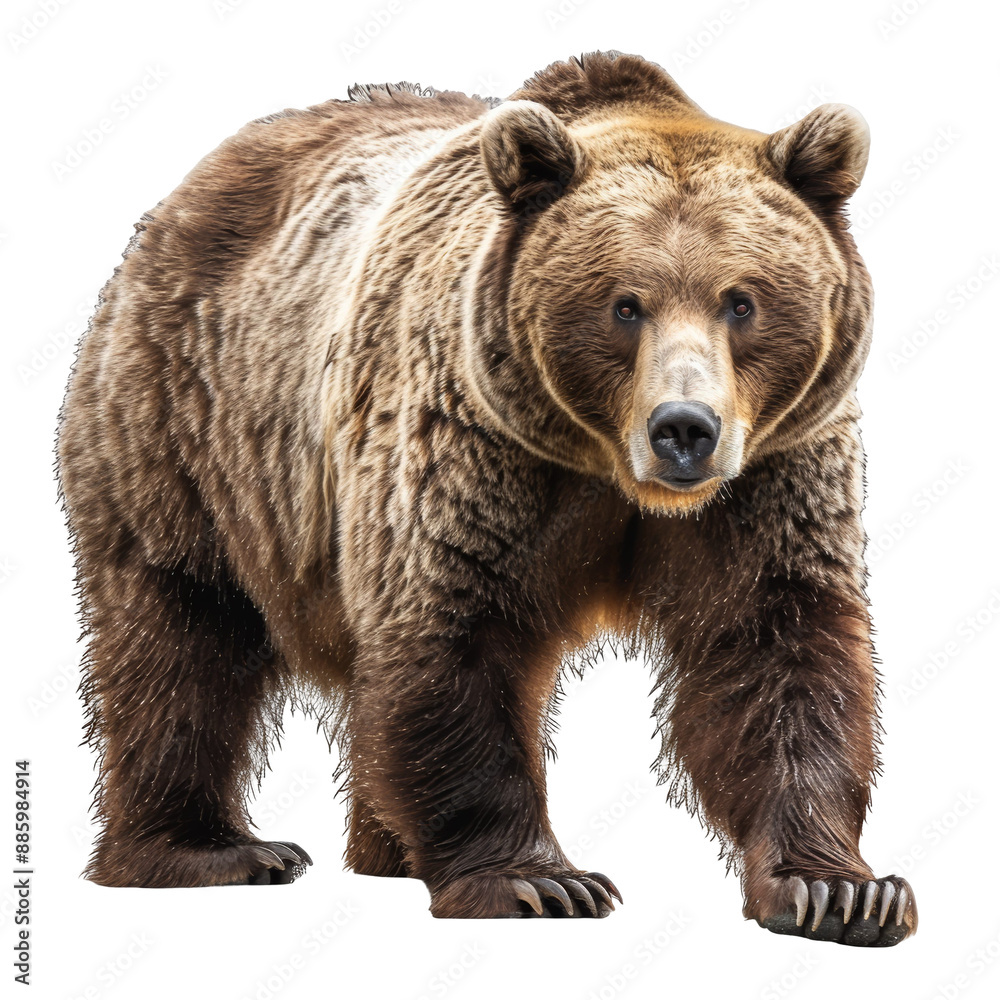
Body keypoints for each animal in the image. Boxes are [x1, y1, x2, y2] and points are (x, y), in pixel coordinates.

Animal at [56, 50, 917, 945]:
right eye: (624, 303)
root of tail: (191, 187)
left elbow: (776, 645)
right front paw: (539, 880)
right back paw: (208, 851)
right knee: (180, 636)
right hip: (189, 433)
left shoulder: (770, 472)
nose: (685, 429)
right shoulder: (470, 444)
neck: (605, 466)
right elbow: (453, 629)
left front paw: (840, 890)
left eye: (741, 301)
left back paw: (384, 851)